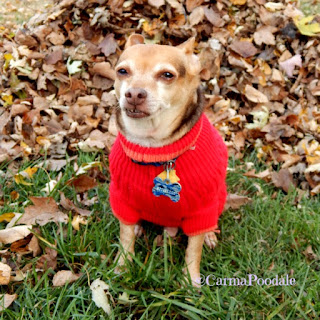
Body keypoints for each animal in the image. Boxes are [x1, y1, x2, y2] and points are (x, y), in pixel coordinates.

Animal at [109, 33, 229, 286]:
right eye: (122, 71)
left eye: (167, 75)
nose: (134, 93)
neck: (154, 148)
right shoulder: (120, 198)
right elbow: (125, 237)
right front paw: (122, 267)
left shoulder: (202, 209)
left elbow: (194, 249)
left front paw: (190, 280)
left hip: (218, 198)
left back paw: (210, 234)